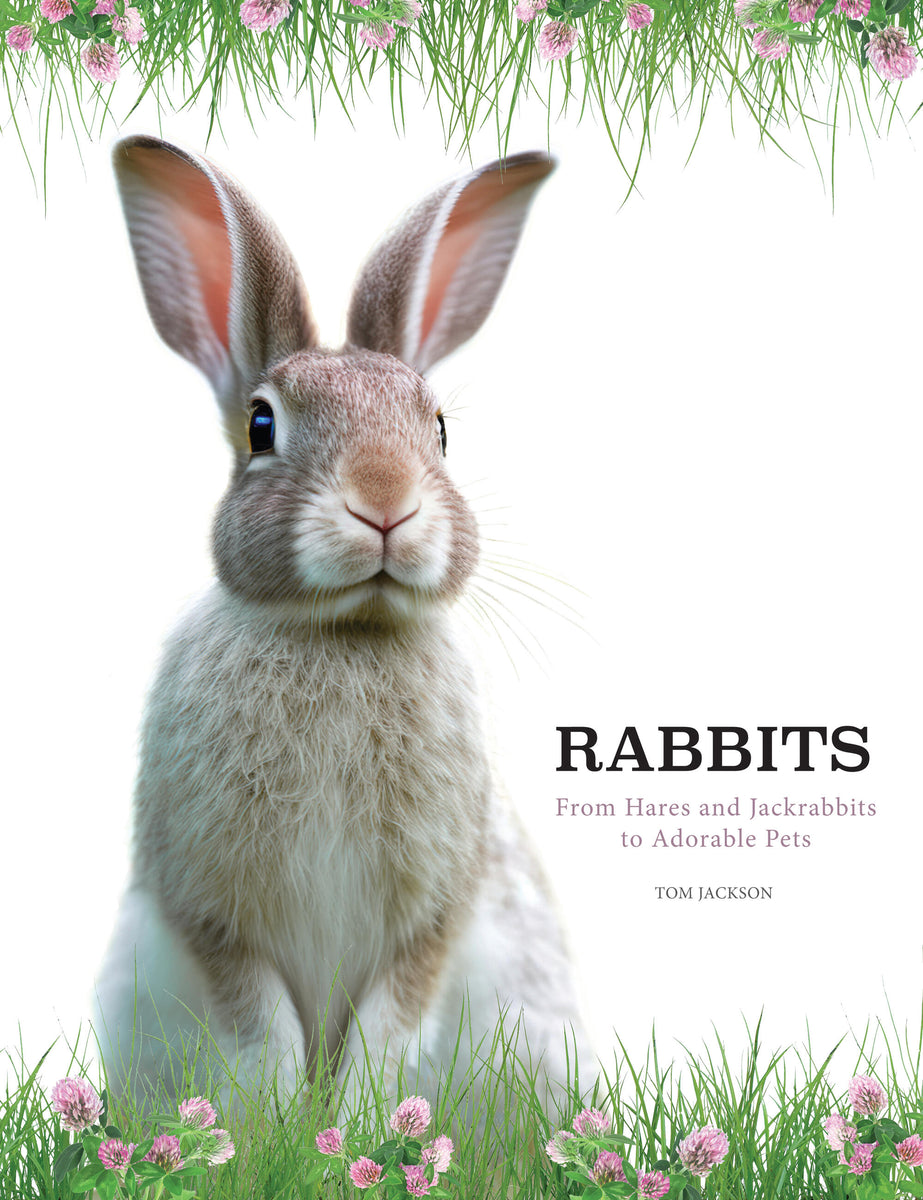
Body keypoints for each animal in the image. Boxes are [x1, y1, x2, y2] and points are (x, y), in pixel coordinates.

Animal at [93, 135, 592, 1109]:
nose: (385, 503)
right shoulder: (209, 910)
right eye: (260, 425)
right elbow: (262, 1030)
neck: (343, 633)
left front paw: (358, 1125)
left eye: (439, 430)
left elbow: (389, 1028)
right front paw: (286, 1123)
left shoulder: (433, 914)